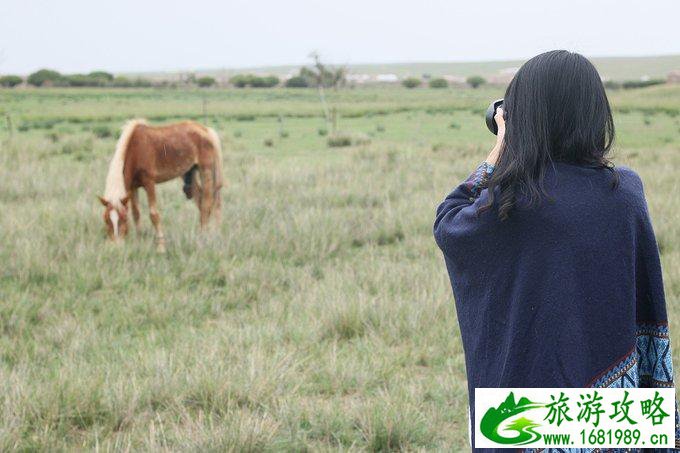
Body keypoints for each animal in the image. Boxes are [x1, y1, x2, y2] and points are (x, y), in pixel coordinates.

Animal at [98, 118, 223, 251]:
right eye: (106, 219)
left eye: (123, 218)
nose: (116, 246)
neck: (135, 149)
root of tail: (206, 130)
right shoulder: (133, 187)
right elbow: (136, 214)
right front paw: (139, 240)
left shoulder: (149, 183)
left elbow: (154, 214)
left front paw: (161, 247)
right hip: (190, 172)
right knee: (200, 201)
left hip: (206, 170)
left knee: (206, 204)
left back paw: (204, 236)